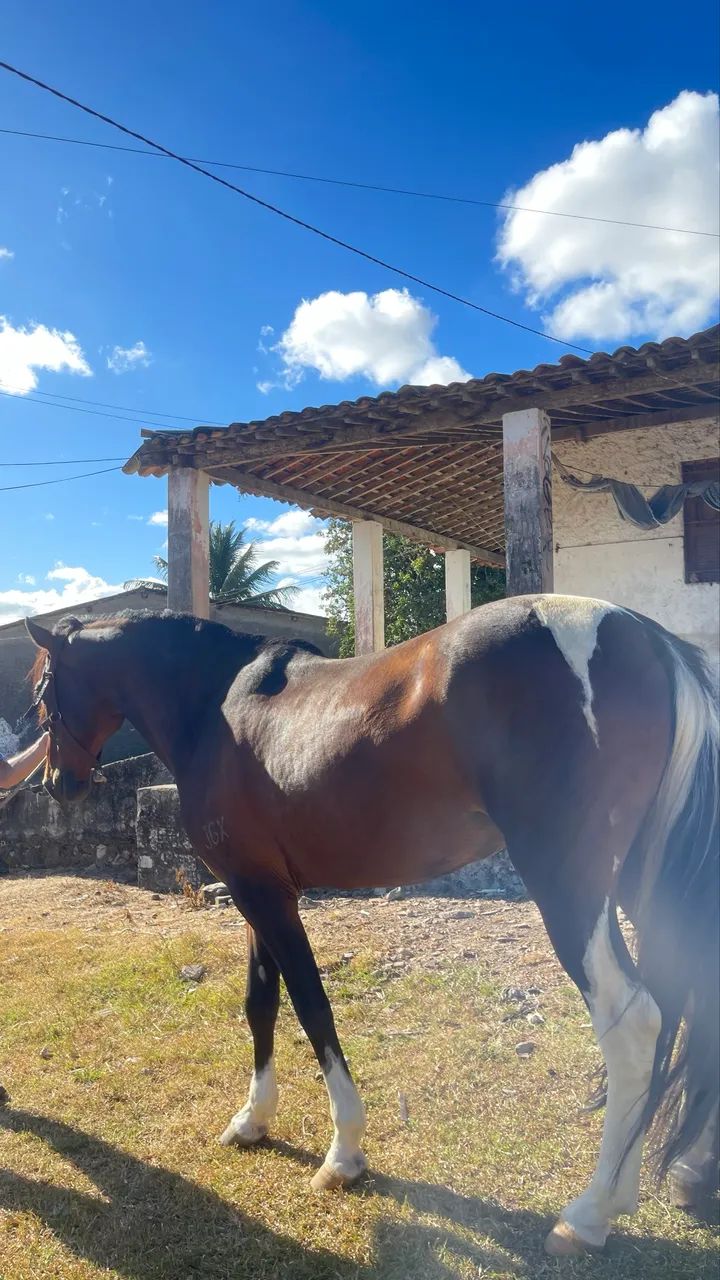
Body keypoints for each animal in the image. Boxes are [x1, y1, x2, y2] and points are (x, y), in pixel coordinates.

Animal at [20, 593, 719, 1257]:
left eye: (42, 692)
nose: (57, 784)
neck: (217, 705)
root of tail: (644, 635)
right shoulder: (256, 889)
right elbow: (260, 1004)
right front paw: (253, 1120)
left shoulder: (265, 897)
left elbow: (311, 1006)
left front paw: (344, 1153)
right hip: (640, 883)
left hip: (571, 882)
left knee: (635, 1022)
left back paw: (590, 1214)